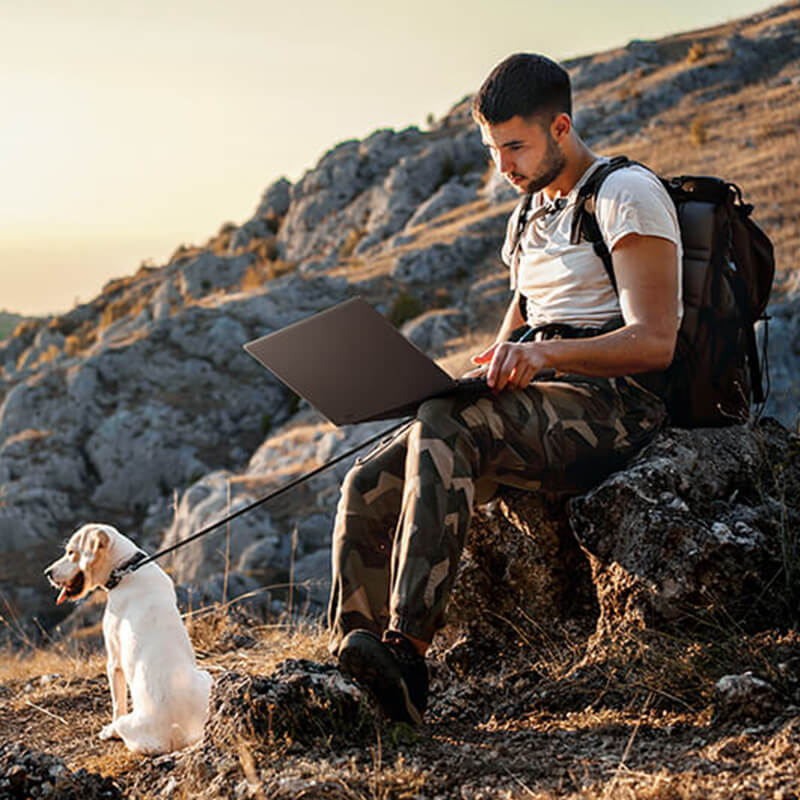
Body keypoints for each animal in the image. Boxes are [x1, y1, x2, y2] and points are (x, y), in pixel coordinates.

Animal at [45, 520, 211, 752]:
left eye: (71, 552)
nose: (47, 573)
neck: (125, 569)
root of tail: (178, 731)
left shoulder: (114, 662)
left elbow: (117, 704)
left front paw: (109, 728)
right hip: (207, 677)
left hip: (129, 722)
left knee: (121, 723)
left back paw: (111, 732)